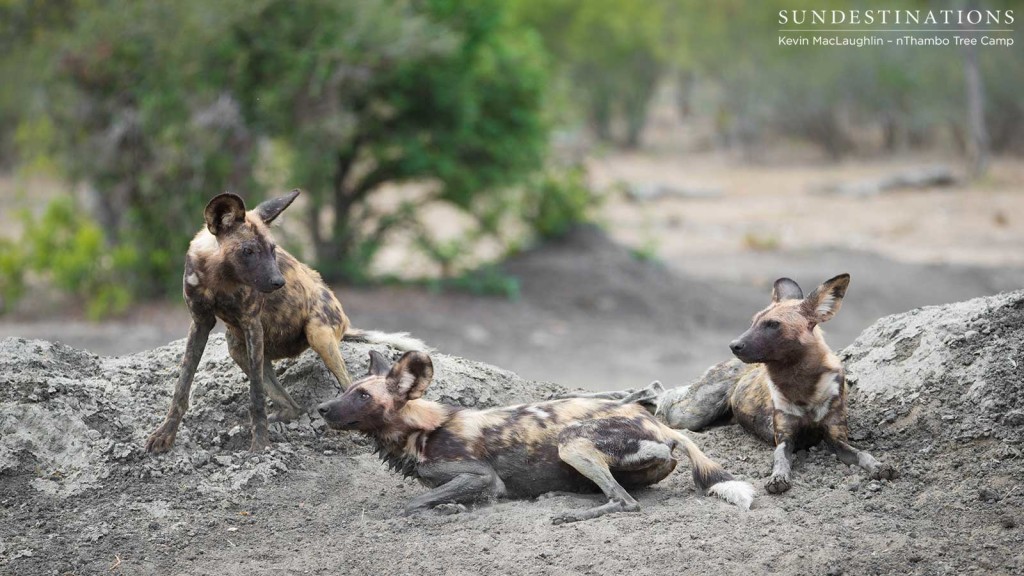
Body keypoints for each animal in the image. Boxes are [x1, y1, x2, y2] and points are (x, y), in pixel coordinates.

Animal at [146, 189, 421, 453]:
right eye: (248, 251)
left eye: (273, 249)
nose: (279, 282)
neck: (219, 276)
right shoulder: (200, 323)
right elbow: (182, 387)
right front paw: (165, 435)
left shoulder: (251, 324)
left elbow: (256, 398)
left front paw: (260, 446)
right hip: (237, 347)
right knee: (294, 407)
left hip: (317, 334)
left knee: (347, 384)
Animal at [311, 348, 753, 522]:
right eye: (348, 389)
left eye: (363, 395)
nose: (322, 409)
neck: (419, 430)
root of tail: (659, 424)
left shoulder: (481, 478)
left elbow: (413, 503)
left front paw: (449, 509)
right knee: (614, 491)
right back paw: (558, 495)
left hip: (572, 442)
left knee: (625, 502)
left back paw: (571, 513)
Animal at [577, 272, 897, 494]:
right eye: (754, 321)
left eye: (773, 325)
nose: (734, 345)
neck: (801, 387)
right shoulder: (785, 440)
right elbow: (781, 461)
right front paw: (778, 478)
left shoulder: (836, 438)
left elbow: (862, 454)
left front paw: (880, 466)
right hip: (688, 415)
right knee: (654, 392)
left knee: (654, 391)